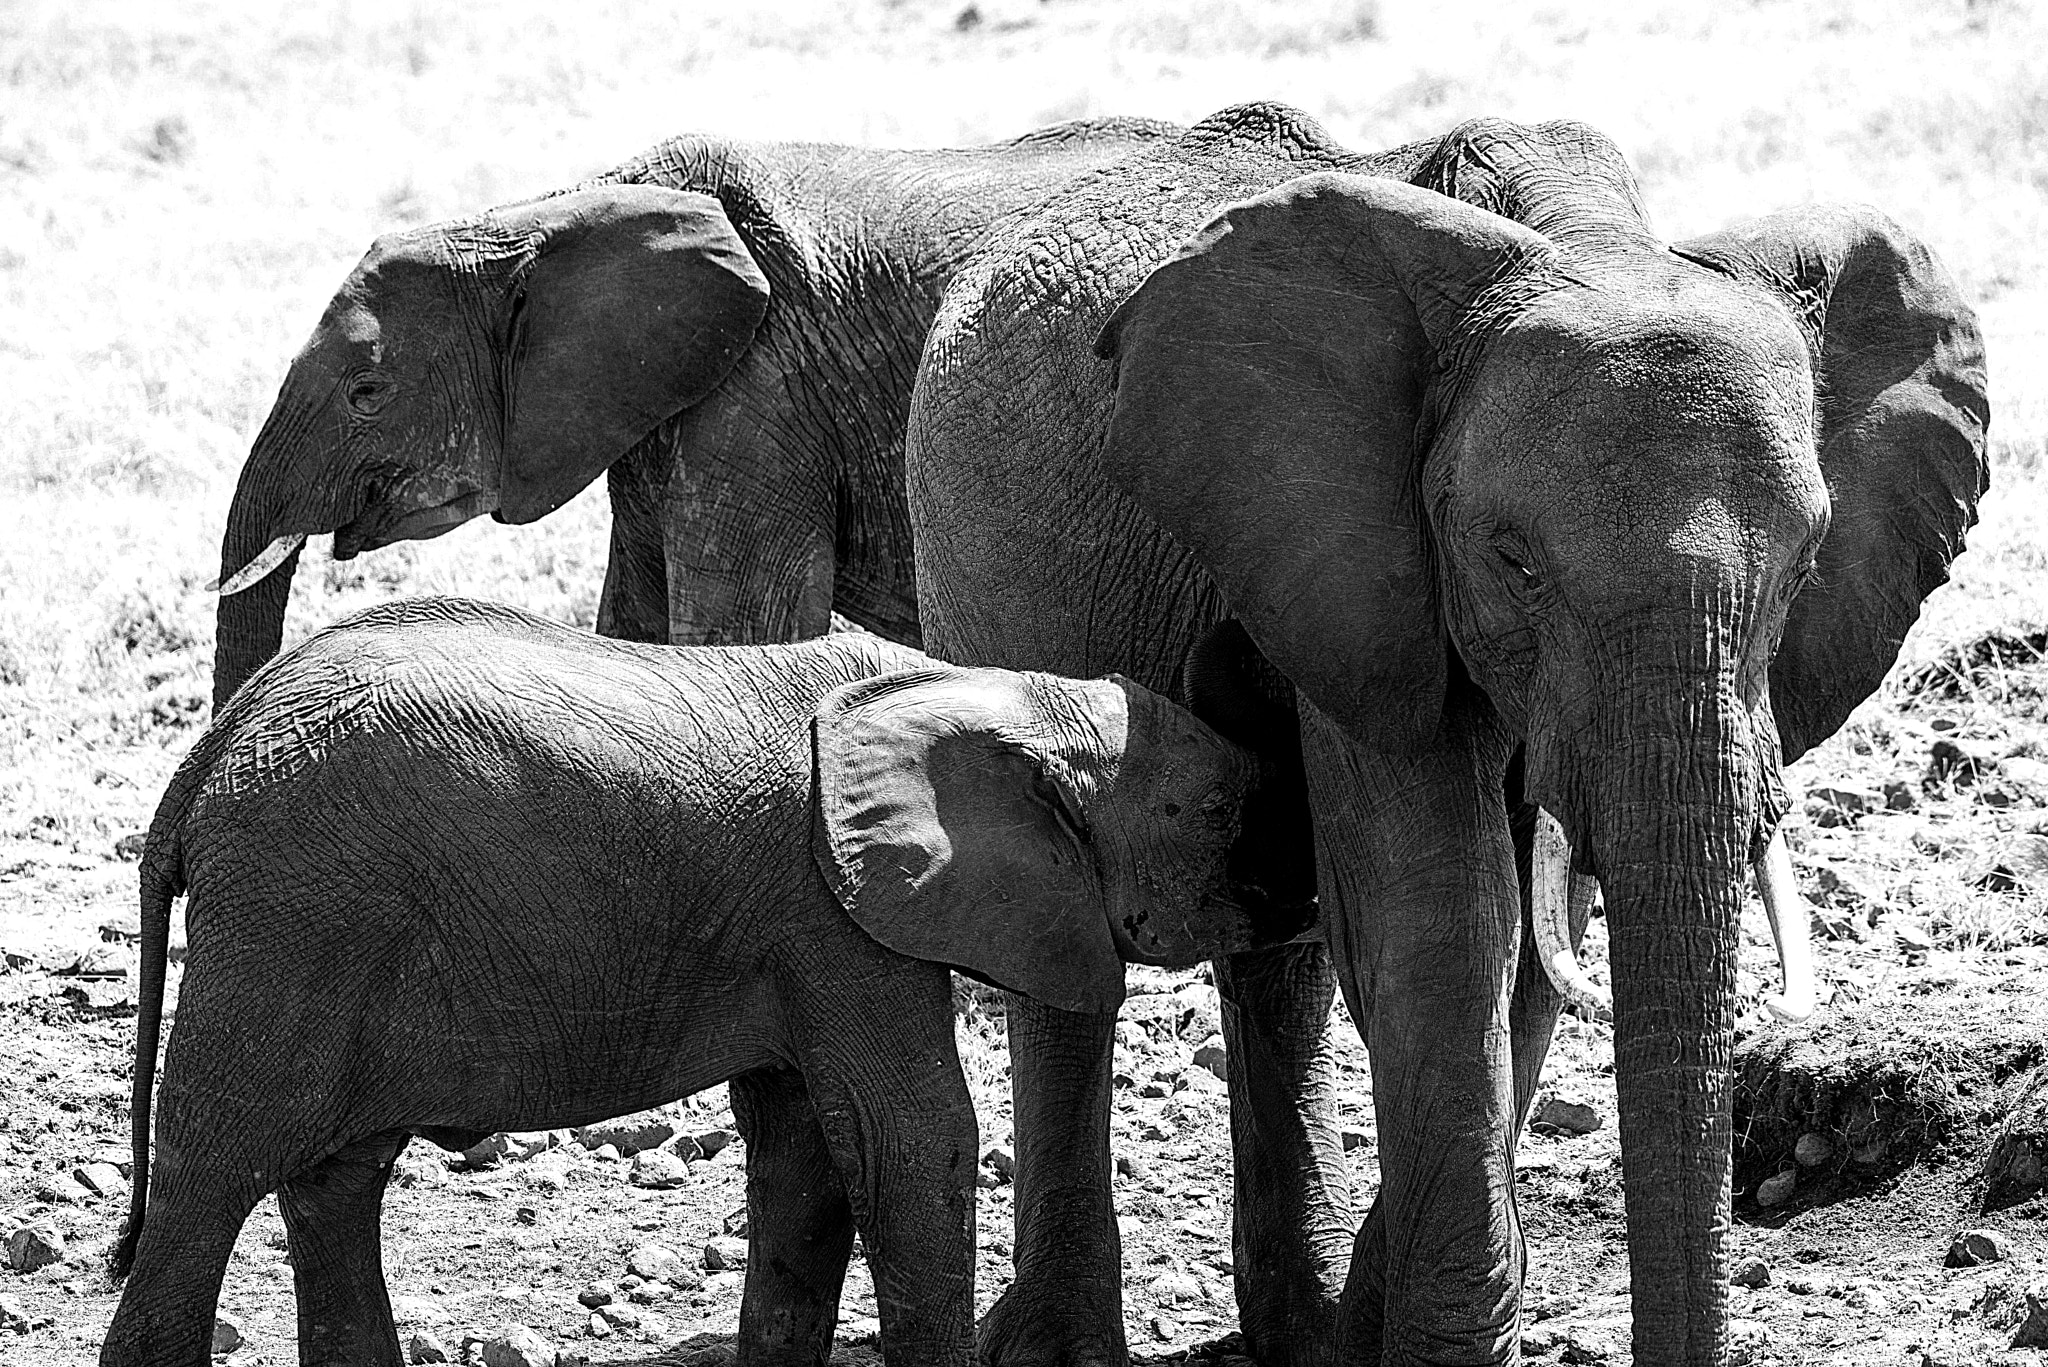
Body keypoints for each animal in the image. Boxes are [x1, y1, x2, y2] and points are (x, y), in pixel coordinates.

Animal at [103, 596, 1316, 1367]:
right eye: (1217, 808)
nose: (1307, 896)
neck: (992, 690)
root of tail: (201, 758)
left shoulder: (799, 931)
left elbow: (808, 1154)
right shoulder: (836, 917)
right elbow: (911, 1137)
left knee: (334, 1178)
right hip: (294, 920)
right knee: (214, 1168)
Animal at [904, 105, 1988, 1365]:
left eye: (1805, 567)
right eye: (1512, 561)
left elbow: (1526, 937)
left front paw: (1391, 1317)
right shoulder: (1354, 560)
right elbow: (1446, 918)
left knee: (1284, 948)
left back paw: (1309, 1325)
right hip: (977, 544)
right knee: (1068, 964)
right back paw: (1067, 1345)